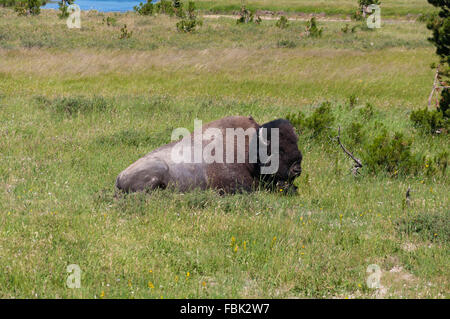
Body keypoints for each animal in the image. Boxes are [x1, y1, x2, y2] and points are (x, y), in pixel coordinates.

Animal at [115, 115, 302, 194]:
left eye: (296, 143)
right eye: (279, 149)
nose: (297, 169)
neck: (250, 149)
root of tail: (119, 177)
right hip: (157, 170)